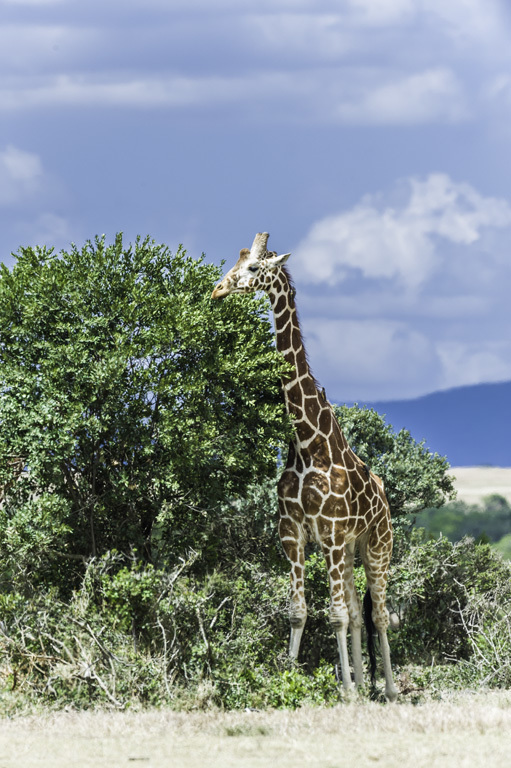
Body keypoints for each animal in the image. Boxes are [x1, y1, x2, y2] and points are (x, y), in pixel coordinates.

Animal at [212, 231, 400, 700]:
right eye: (234, 263)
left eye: (254, 268)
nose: (218, 290)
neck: (306, 441)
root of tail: (385, 496)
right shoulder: (292, 530)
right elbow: (300, 611)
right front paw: (289, 680)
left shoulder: (329, 533)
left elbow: (335, 615)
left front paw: (346, 691)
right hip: (350, 548)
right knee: (357, 609)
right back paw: (365, 685)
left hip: (378, 544)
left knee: (378, 611)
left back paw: (386, 689)